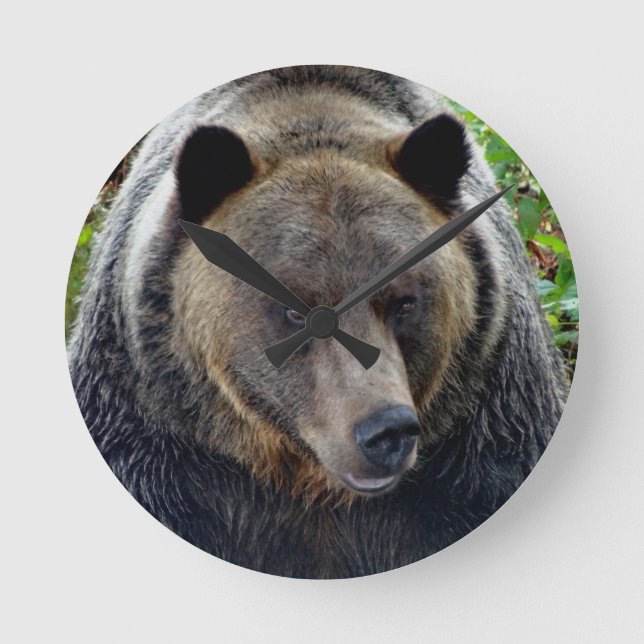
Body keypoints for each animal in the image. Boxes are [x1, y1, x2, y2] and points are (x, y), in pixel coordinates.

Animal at [68, 65, 568, 578]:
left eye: (405, 303)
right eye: (295, 310)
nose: (386, 431)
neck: (307, 482)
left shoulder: (483, 430)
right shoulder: (156, 437)